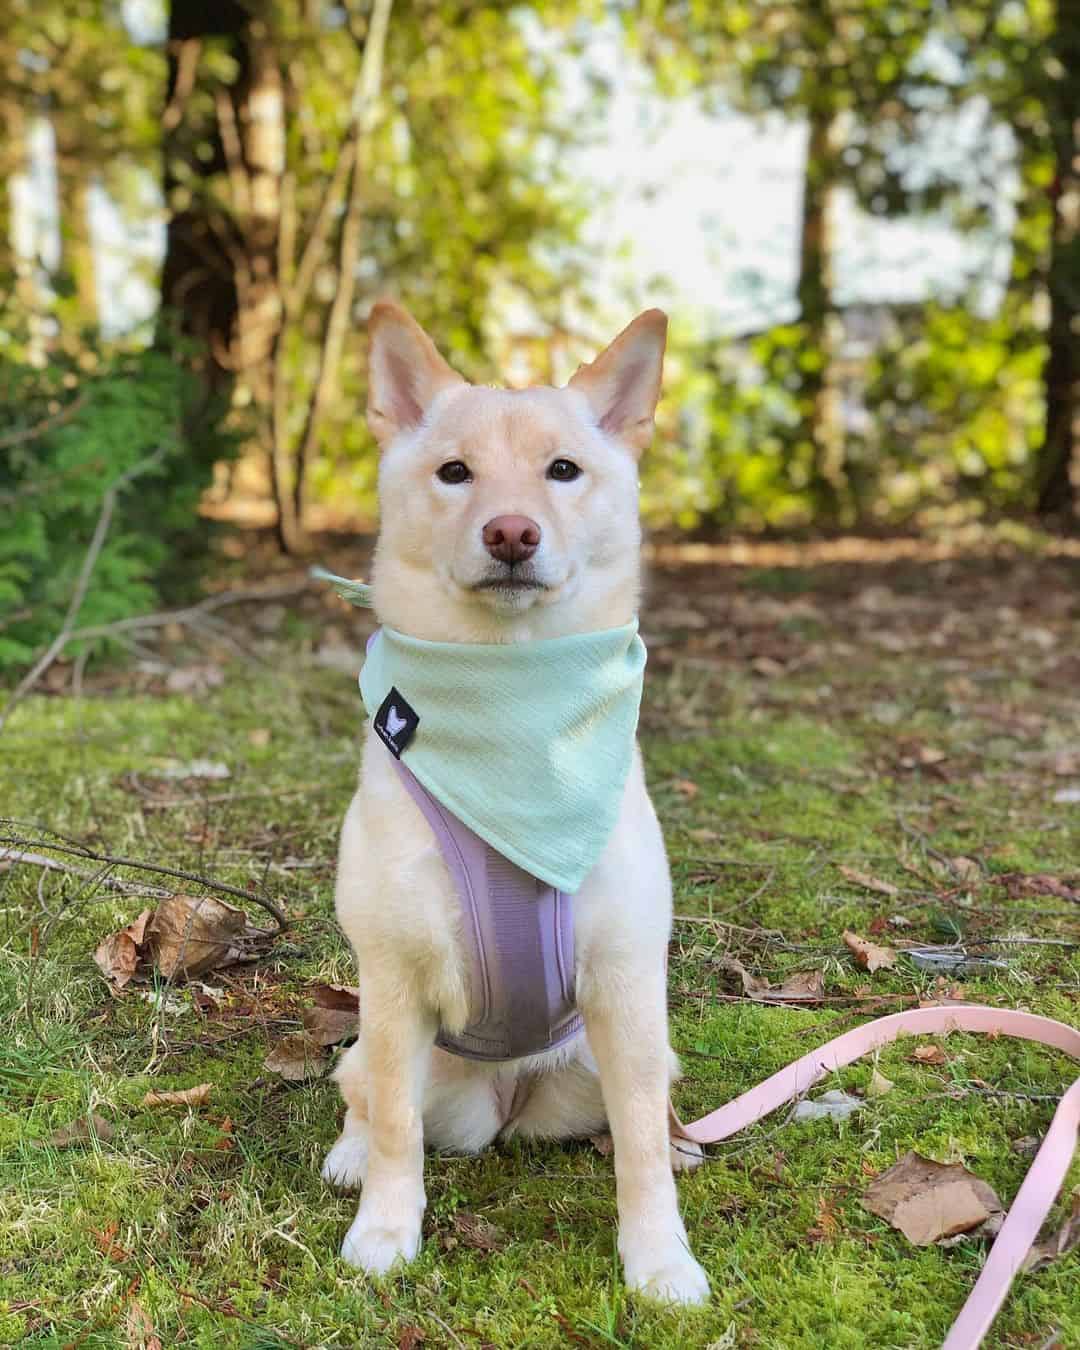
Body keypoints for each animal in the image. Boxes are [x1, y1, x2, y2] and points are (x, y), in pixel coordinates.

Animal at [321, 301, 707, 1301]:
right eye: (454, 472)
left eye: (562, 470)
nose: (511, 533)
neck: (510, 704)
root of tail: (508, 1099)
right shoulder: (392, 982)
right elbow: (395, 1133)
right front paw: (384, 1230)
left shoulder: (627, 984)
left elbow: (637, 1147)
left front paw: (658, 1256)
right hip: (397, 1057)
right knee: (367, 1098)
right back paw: (348, 1156)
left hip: (617, 1056)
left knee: (642, 1113)